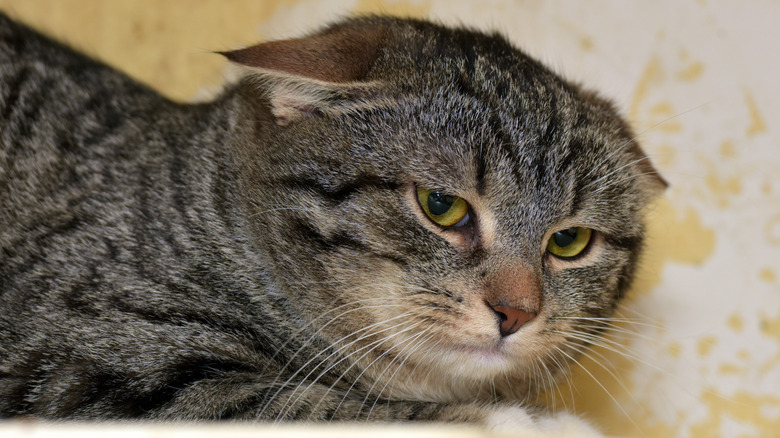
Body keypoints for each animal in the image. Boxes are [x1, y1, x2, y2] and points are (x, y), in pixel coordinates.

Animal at [0, 12, 664, 432]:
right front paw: (525, 420)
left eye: (570, 241)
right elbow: (318, 406)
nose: (516, 312)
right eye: (441, 206)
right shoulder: (90, 366)